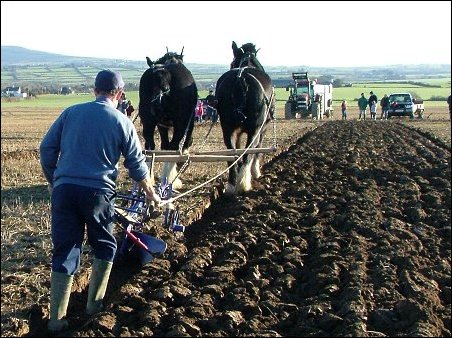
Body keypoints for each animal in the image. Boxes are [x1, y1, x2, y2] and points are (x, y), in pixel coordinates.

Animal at [139, 48, 197, 190]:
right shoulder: (189, 122)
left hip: (148, 121)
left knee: (150, 146)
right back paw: (170, 180)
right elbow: (186, 142)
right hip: (181, 123)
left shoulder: (162, 125)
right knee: (174, 146)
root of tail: (163, 74)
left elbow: (164, 145)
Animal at [215, 41, 276, 195]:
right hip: (255, 129)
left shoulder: (237, 131)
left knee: (232, 154)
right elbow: (257, 150)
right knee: (249, 152)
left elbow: (238, 150)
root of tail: (240, 78)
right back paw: (243, 184)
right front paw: (255, 172)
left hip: (227, 128)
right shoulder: (262, 129)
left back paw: (231, 185)